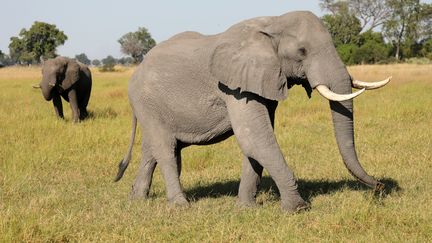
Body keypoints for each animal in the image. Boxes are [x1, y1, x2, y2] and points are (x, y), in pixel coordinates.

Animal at [113, 11, 390, 213]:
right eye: (302, 52)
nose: (379, 187)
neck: (273, 22)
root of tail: (136, 70)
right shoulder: (234, 86)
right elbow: (255, 138)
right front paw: (297, 209)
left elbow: (257, 141)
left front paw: (246, 208)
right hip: (146, 101)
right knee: (166, 149)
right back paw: (181, 206)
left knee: (153, 150)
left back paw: (137, 200)